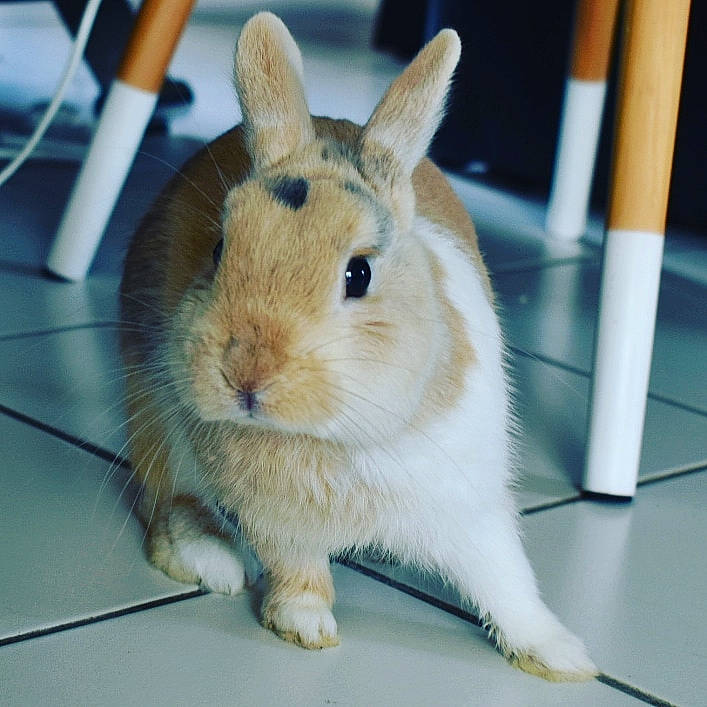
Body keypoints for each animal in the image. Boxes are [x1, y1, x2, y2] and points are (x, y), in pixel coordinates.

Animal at [120, 12, 597, 682]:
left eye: (359, 273)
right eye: (218, 249)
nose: (246, 373)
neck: (339, 434)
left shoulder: (472, 505)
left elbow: (506, 582)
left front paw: (565, 659)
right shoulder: (281, 522)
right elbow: (298, 571)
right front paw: (306, 628)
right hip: (153, 421)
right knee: (164, 504)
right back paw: (212, 561)